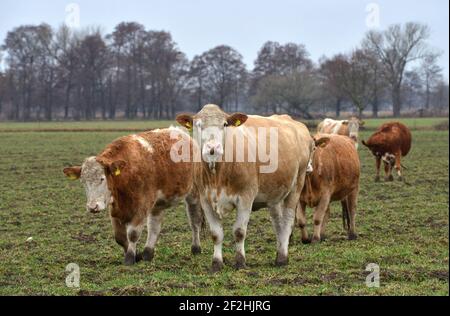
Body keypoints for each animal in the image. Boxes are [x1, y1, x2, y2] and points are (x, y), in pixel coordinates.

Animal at [63, 127, 204, 266]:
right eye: (83, 181)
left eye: (102, 179)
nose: (93, 207)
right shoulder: (114, 209)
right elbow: (119, 237)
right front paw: (137, 256)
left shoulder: (141, 207)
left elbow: (133, 234)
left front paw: (130, 258)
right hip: (157, 204)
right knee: (154, 226)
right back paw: (148, 253)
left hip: (194, 193)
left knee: (195, 221)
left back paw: (196, 248)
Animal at [176, 104, 312, 272]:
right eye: (198, 125)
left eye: (225, 124)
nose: (213, 148)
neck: (218, 174)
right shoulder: (206, 200)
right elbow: (216, 234)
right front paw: (216, 263)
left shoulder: (245, 198)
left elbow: (239, 232)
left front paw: (240, 262)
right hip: (274, 195)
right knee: (277, 223)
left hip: (296, 186)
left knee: (287, 221)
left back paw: (282, 258)